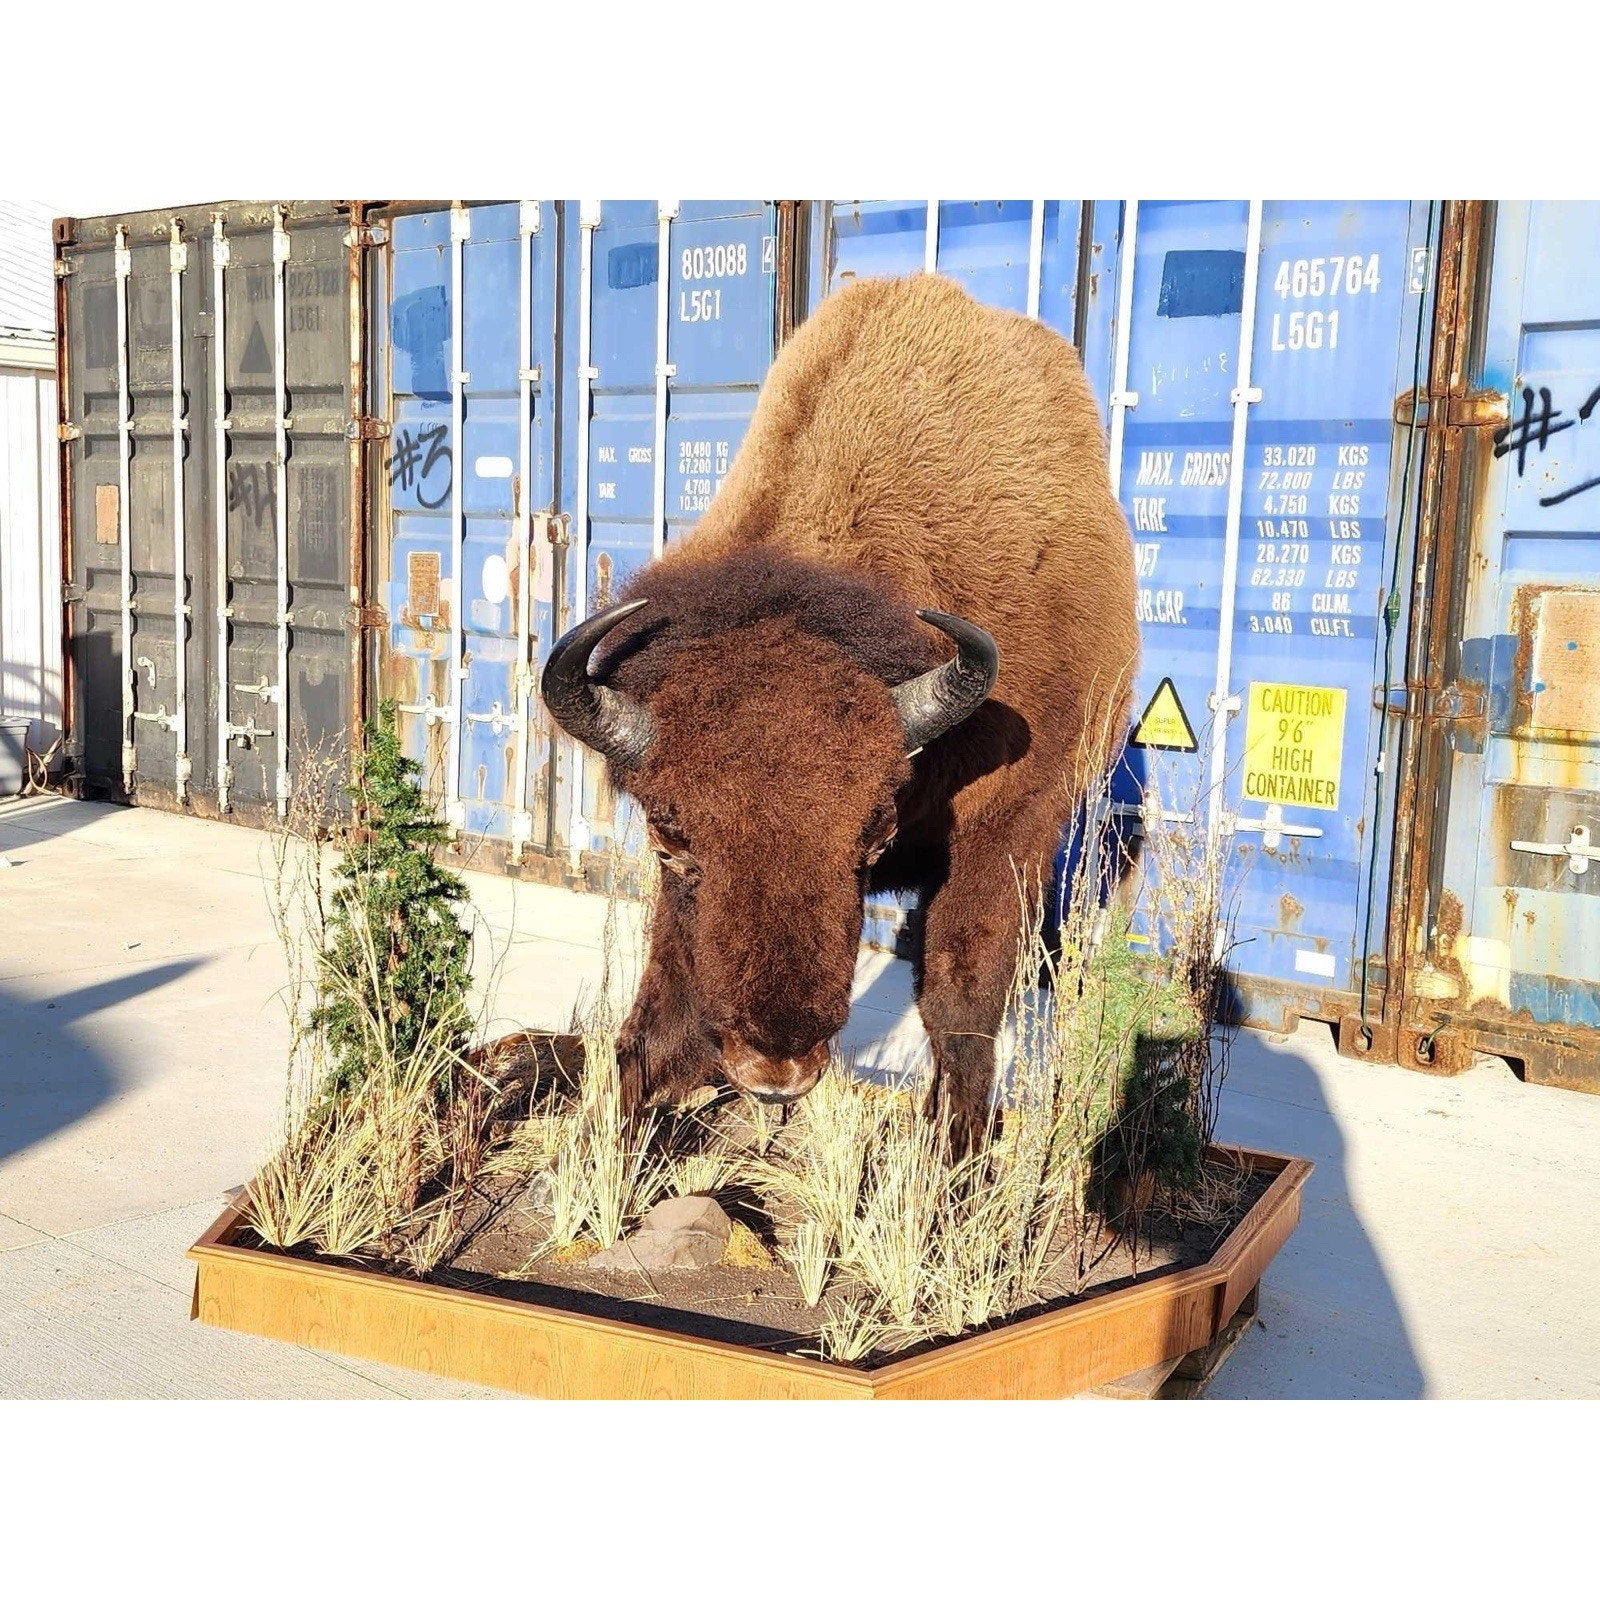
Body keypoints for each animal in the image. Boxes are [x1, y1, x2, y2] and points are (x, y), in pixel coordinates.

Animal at [541, 272, 1139, 1152]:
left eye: (873, 836)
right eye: (669, 838)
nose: (776, 1072)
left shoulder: (1008, 828)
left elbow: (960, 1007)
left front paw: (954, 1161)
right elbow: (652, 1027)